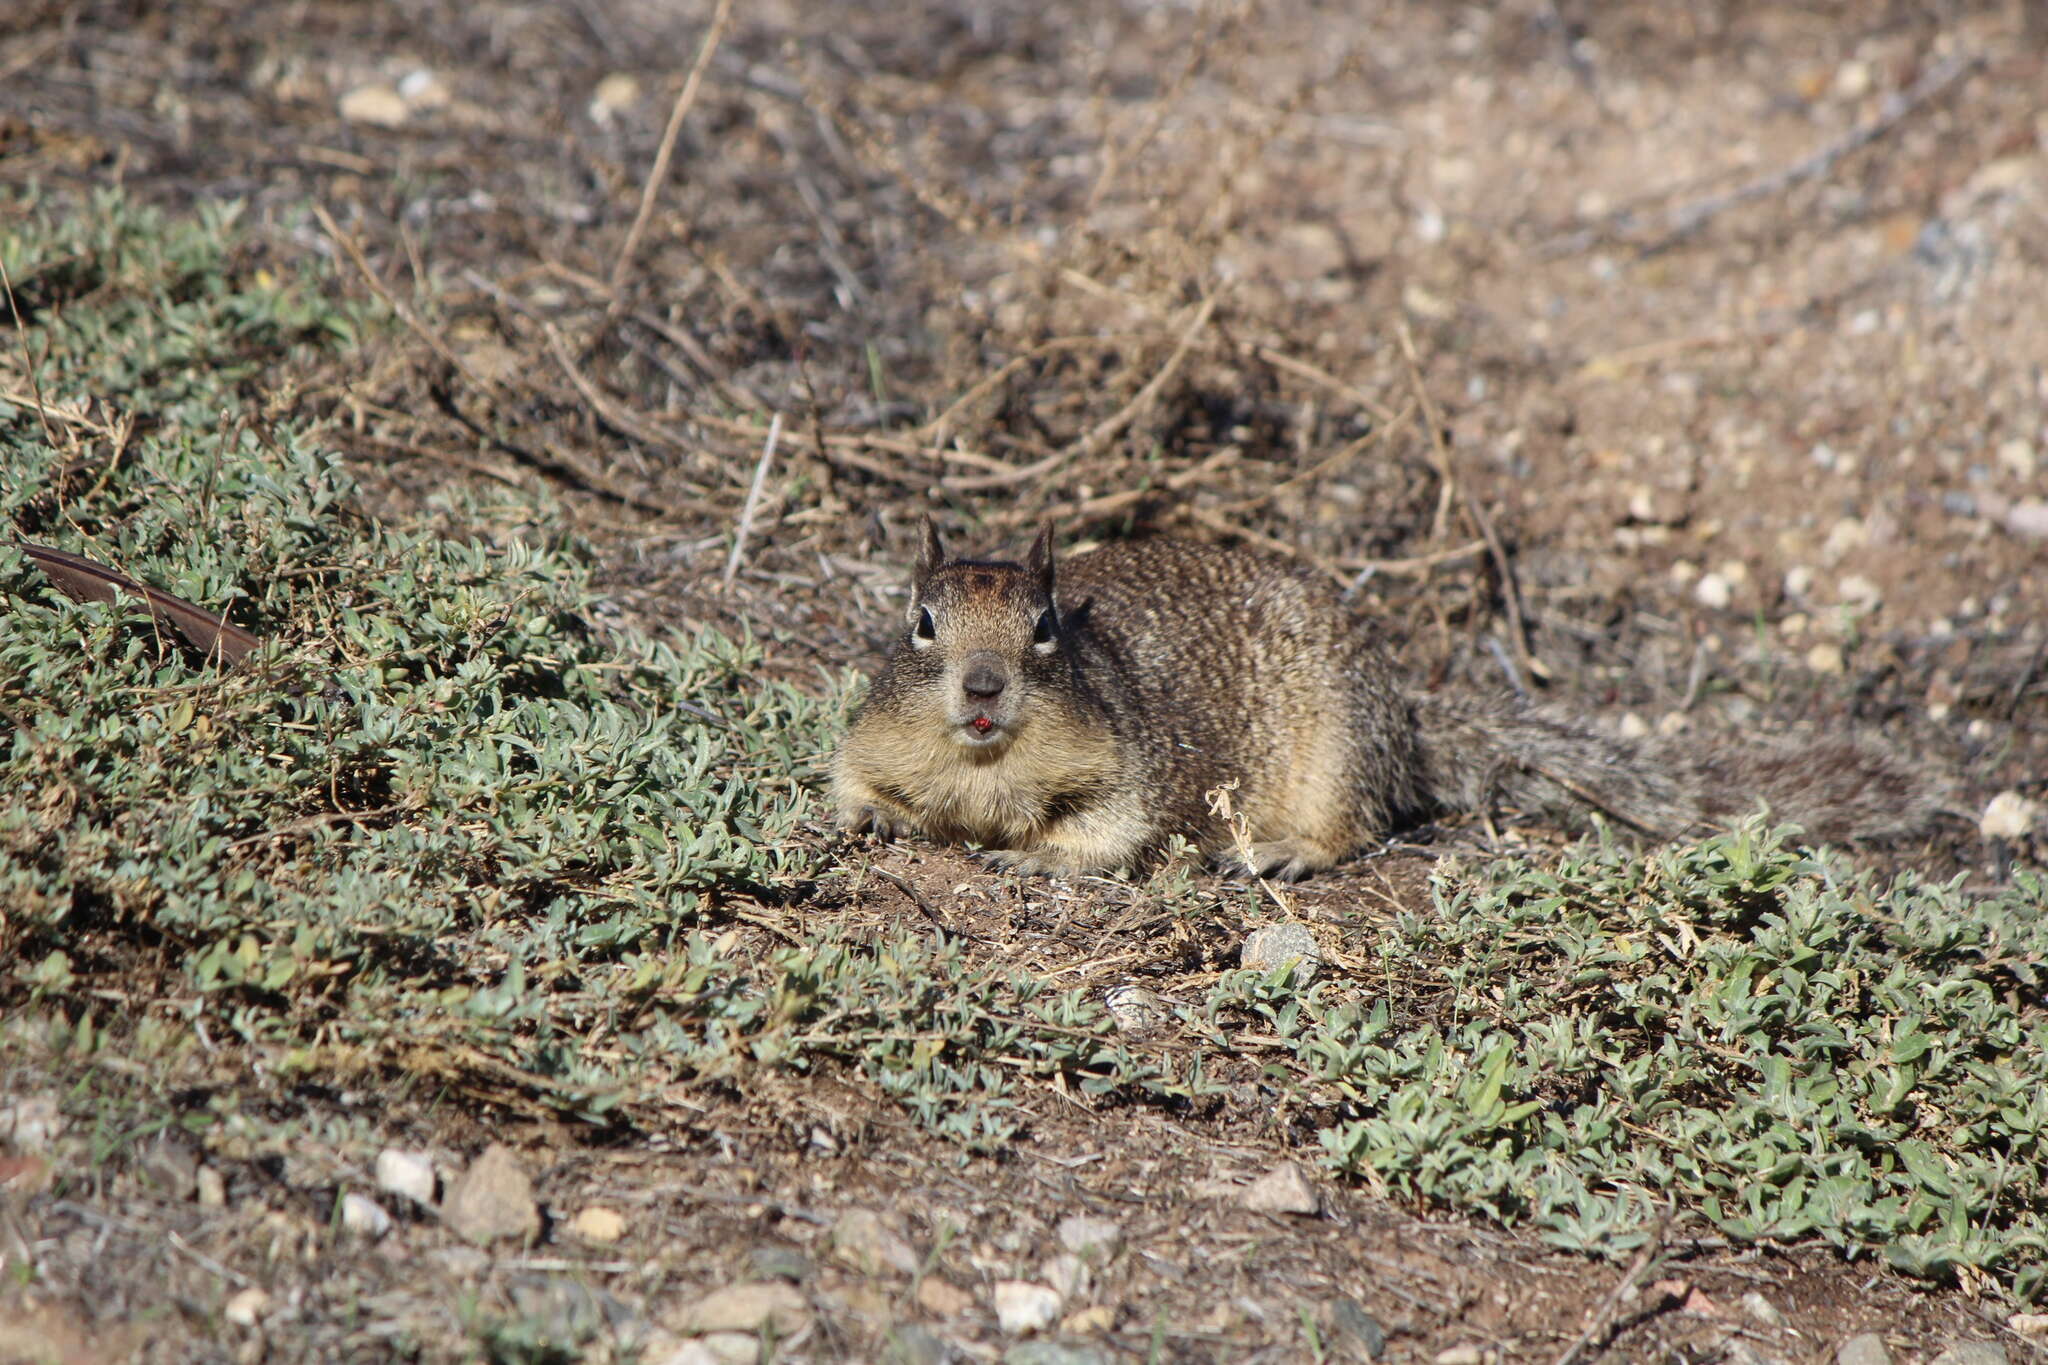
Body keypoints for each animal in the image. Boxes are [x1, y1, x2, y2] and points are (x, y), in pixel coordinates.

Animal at [823, 517, 1925, 879]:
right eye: (920, 621)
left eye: (1045, 628)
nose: (982, 686)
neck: (983, 766)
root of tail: (1404, 716)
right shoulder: (867, 741)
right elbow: (854, 782)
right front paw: (872, 822)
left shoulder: (1132, 767)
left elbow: (1109, 832)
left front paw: (1039, 860)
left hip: (1339, 749)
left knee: (1357, 825)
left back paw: (1284, 853)